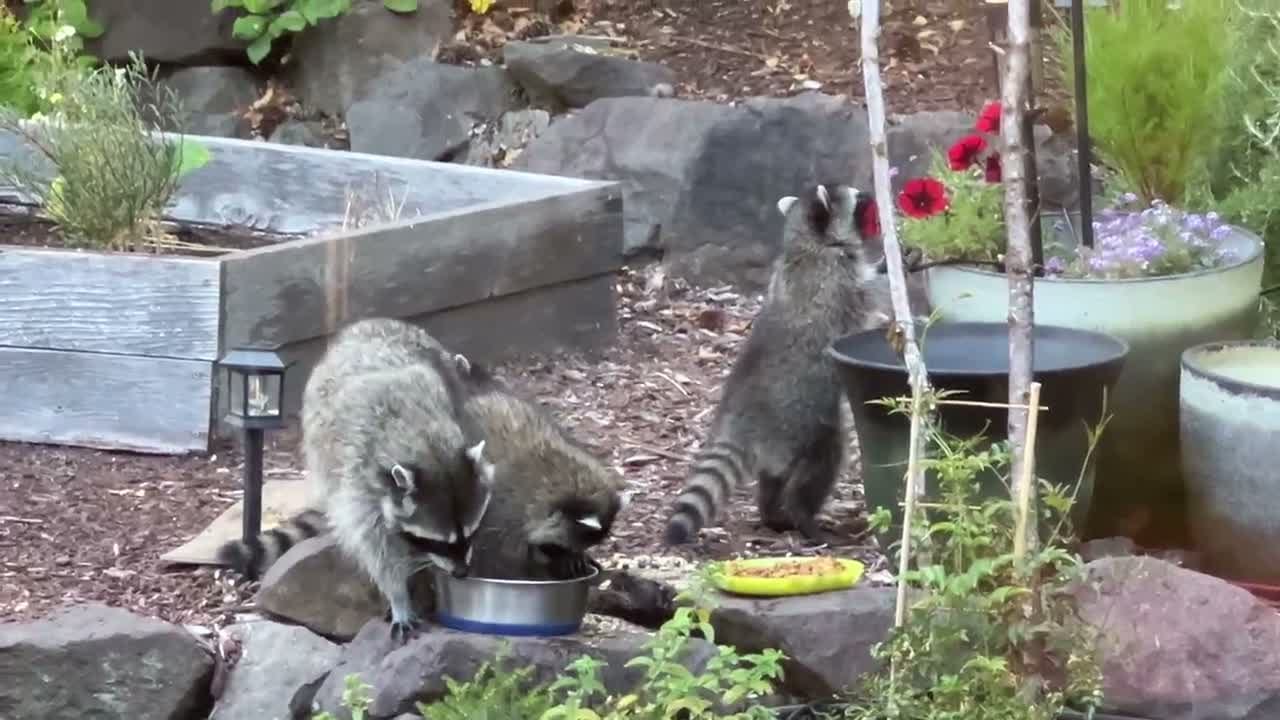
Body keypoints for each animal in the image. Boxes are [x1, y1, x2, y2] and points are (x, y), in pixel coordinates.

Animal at [216, 317, 495, 643]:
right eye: (437, 542)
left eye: (471, 533)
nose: (462, 572)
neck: (427, 446)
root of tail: (370, 323)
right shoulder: (360, 484)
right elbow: (377, 550)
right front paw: (399, 596)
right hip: (318, 442)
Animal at [663, 183, 889, 546]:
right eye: (857, 199)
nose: (871, 194)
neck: (805, 239)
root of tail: (739, 416)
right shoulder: (835, 280)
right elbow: (870, 296)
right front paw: (895, 266)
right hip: (801, 421)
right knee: (821, 462)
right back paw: (803, 515)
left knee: (773, 477)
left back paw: (772, 512)